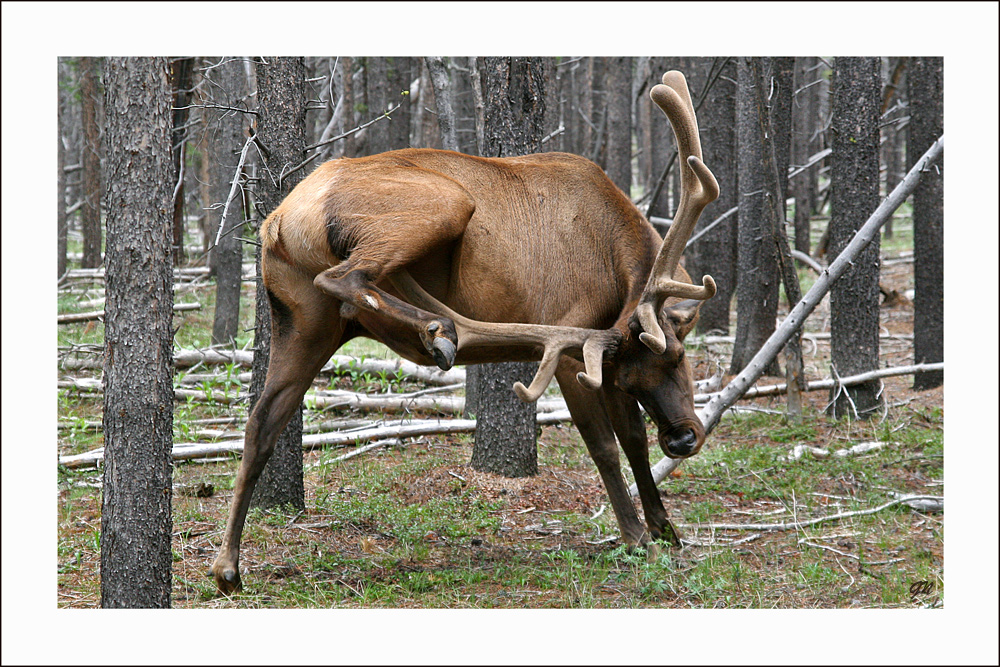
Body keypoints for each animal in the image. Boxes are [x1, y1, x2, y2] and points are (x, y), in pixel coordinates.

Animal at [209, 72, 720, 596]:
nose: (684, 438)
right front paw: (638, 536)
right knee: (343, 277)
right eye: (680, 355)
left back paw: (227, 566)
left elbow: (634, 439)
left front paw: (665, 527)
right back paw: (438, 329)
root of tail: (279, 220)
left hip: (305, 322)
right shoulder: (576, 348)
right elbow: (606, 445)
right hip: (446, 203)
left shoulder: (602, 353)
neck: (621, 257)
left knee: (261, 421)